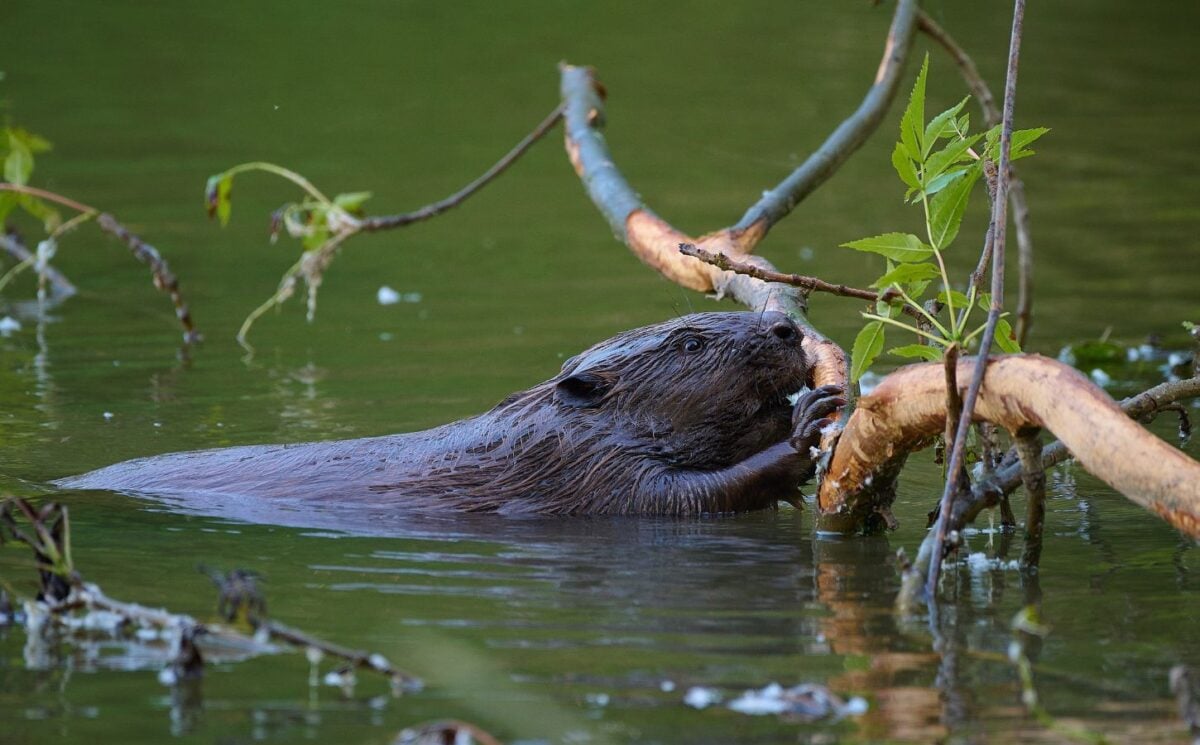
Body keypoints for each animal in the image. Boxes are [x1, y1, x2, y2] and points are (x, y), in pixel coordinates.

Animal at [56, 311, 844, 513]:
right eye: (689, 342)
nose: (786, 329)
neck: (546, 424)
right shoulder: (587, 470)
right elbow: (681, 500)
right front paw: (809, 425)